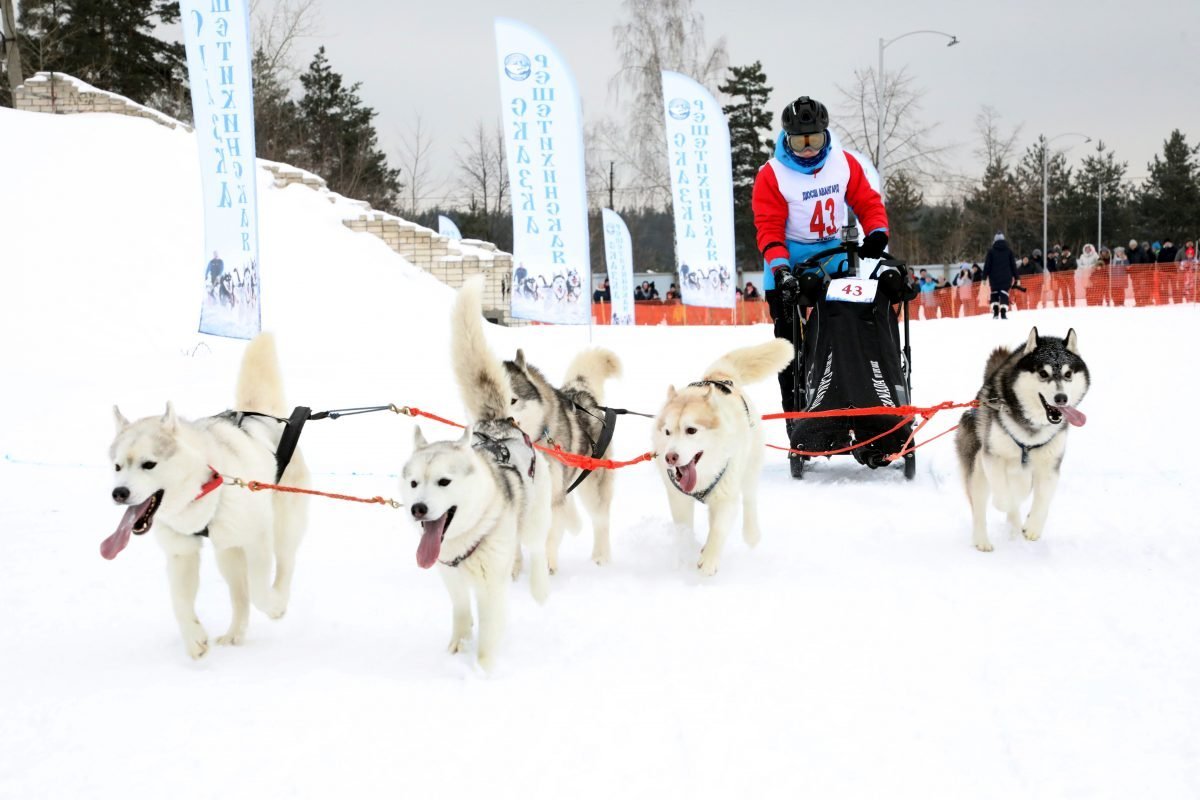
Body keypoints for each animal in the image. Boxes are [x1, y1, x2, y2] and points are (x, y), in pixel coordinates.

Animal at [103, 335, 312, 662]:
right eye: (117, 466)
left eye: (149, 464)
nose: (119, 493)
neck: (207, 485)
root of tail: (265, 418)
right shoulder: (181, 552)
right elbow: (179, 601)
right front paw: (194, 639)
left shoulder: (257, 538)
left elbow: (260, 589)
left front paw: (274, 605)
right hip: (227, 552)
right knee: (239, 596)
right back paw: (234, 634)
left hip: (282, 525)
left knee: (285, 562)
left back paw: (278, 600)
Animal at [400, 278, 554, 671]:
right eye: (414, 483)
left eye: (444, 481)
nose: (418, 509)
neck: (464, 541)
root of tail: (500, 422)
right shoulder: (451, 580)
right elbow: (460, 615)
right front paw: (457, 647)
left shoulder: (490, 588)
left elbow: (487, 636)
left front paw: (482, 671)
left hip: (534, 520)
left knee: (537, 550)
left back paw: (539, 591)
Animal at [657, 338, 796, 575]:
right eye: (667, 432)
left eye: (691, 430)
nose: (671, 457)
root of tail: (719, 377)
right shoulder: (678, 498)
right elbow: (684, 526)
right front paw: (687, 552)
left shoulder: (726, 495)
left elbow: (719, 529)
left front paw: (709, 560)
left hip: (749, 468)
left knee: (749, 499)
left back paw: (751, 533)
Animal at [955, 328, 1089, 554]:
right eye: (1043, 373)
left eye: (1068, 374)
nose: (1061, 398)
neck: (1032, 428)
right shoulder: (992, 456)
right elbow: (1003, 497)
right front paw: (1009, 509)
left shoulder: (1050, 465)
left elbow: (1043, 500)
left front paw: (1032, 527)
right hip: (978, 468)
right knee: (981, 506)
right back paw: (982, 540)